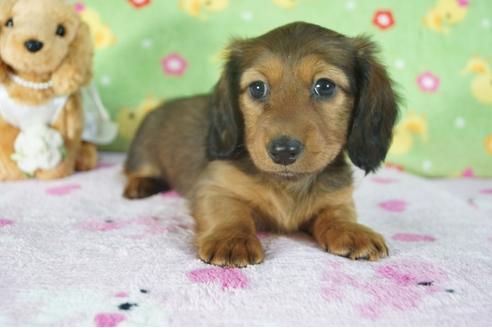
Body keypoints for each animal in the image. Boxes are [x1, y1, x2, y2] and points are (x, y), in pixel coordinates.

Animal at [124, 21, 400, 266]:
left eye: (325, 86)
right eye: (257, 87)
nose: (283, 151)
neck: (289, 183)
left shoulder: (337, 197)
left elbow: (337, 214)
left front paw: (352, 230)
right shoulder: (214, 186)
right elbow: (230, 212)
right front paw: (232, 239)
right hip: (142, 154)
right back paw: (140, 184)